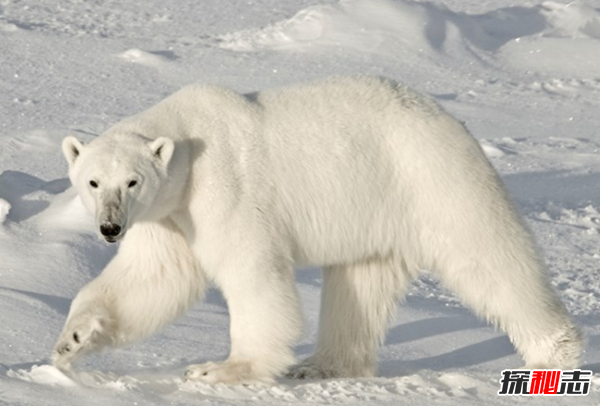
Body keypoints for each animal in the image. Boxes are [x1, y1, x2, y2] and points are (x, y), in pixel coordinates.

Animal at [52, 75, 580, 384]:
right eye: (93, 181)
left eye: (132, 180)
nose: (110, 227)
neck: (186, 139)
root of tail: (446, 117)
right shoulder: (170, 212)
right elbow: (153, 277)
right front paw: (72, 340)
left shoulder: (222, 188)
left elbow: (250, 269)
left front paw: (222, 368)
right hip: (373, 206)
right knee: (358, 286)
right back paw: (322, 365)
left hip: (431, 179)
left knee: (488, 258)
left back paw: (554, 357)